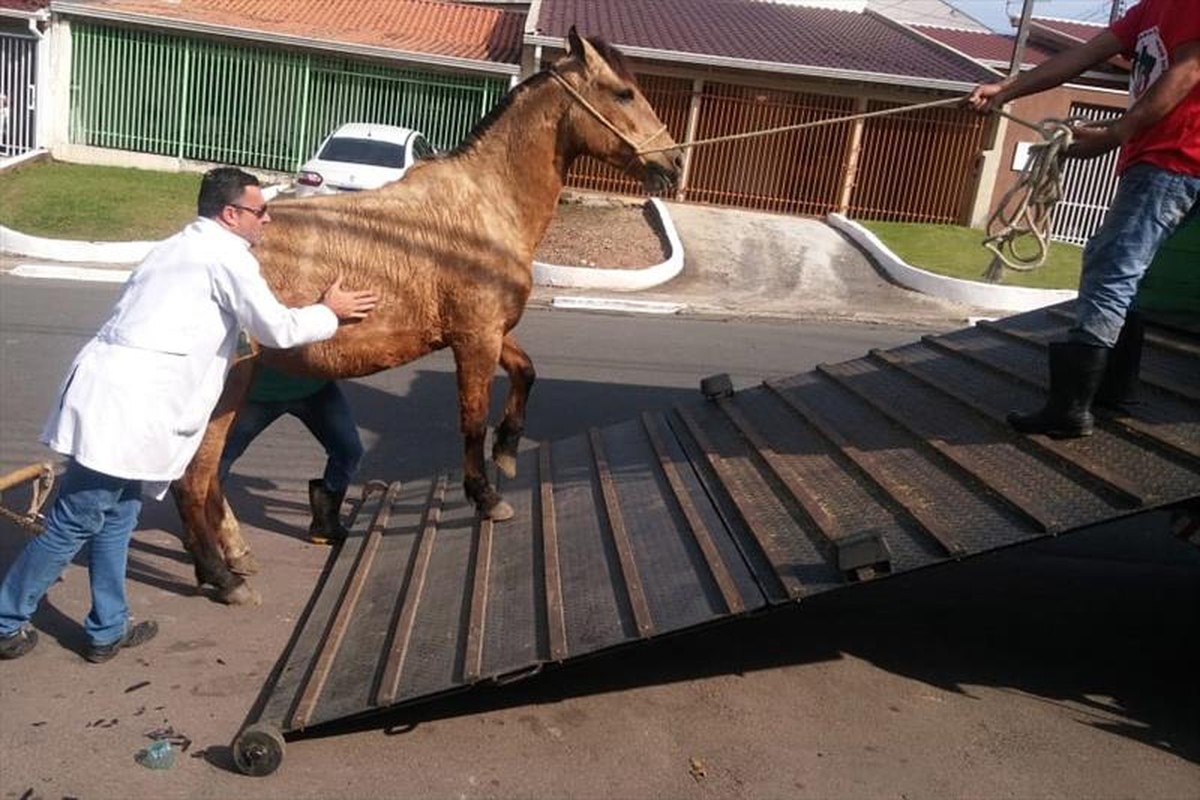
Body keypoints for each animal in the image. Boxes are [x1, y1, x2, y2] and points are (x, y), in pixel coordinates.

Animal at [171, 29, 684, 606]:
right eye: (623, 92)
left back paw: (235, 557)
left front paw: (509, 451)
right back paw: (221, 577)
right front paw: (487, 497)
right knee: (193, 478)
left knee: (210, 475)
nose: (672, 163)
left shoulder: (486, 332)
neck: (482, 208)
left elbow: (527, 373)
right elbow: (471, 421)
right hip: (227, 387)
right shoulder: (476, 338)